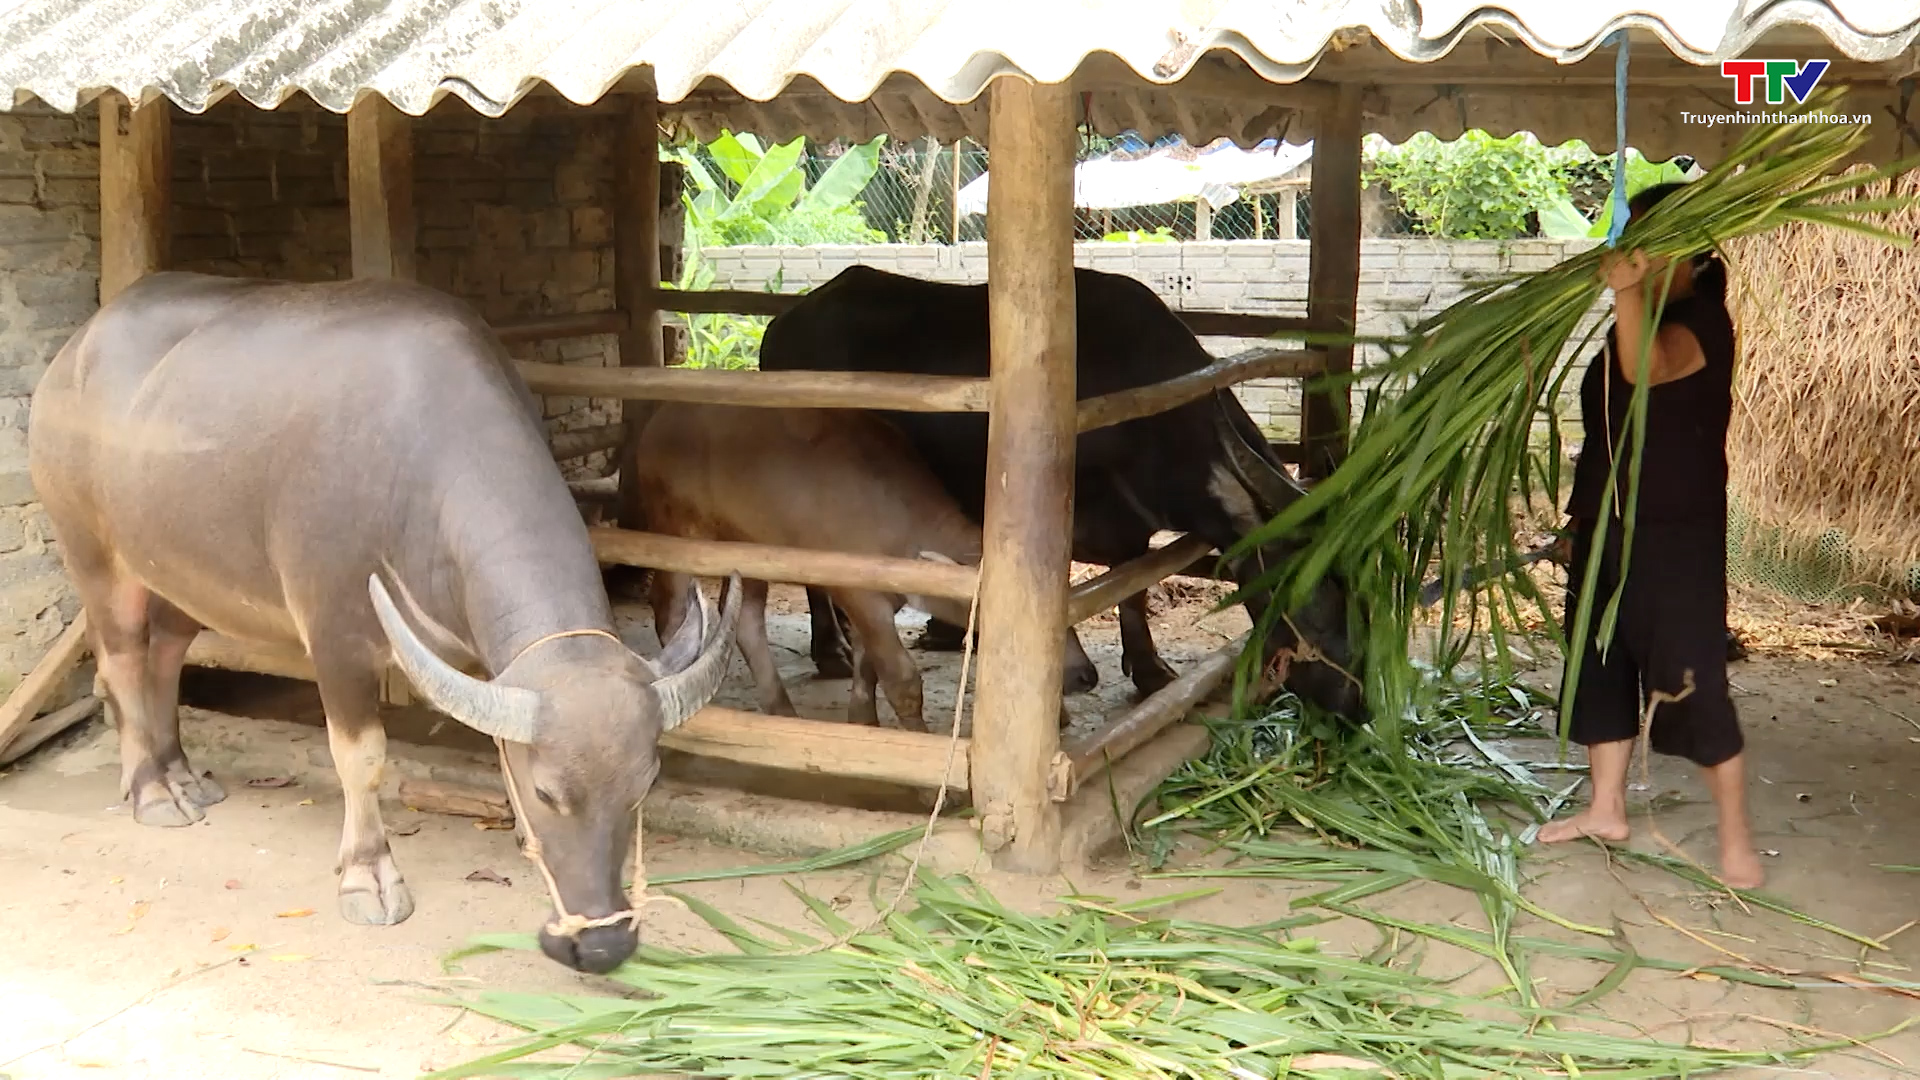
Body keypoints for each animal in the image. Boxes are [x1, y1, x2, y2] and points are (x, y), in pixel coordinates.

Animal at [30, 267, 737, 968]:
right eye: (549, 793)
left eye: (644, 786)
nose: (603, 943)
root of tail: (70, 357)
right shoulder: (336, 641)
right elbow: (362, 758)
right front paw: (367, 875)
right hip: (94, 552)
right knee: (121, 657)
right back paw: (152, 791)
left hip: (180, 572)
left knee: (166, 654)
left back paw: (181, 776)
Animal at [641, 403, 1098, 730]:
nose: (1085, 676)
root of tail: (661, 420)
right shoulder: (858, 596)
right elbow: (901, 678)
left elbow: (867, 666)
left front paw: (862, 720)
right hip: (674, 533)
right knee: (672, 609)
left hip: (748, 548)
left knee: (745, 617)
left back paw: (781, 708)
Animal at [752, 263, 1367, 714]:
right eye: (1307, 596)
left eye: (1357, 592)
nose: (1355, 701)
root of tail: (780, 328)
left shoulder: (1129, 525)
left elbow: (1132, 588)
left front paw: (1149, 670)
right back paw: (832, 649)